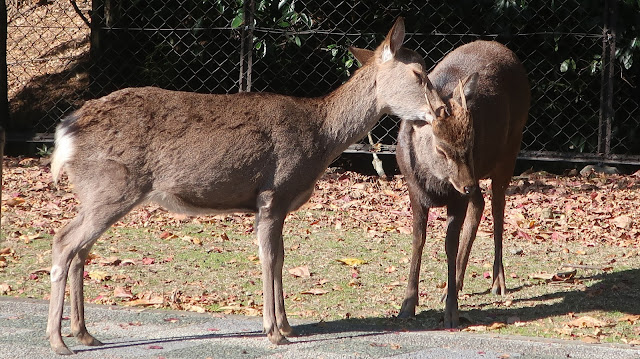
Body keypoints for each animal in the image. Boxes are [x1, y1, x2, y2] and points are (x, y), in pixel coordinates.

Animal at [46, 18, 436, 356]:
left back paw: (85, 333)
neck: (321, 138)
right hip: (111, 186)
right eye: (420, 74)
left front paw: (288, 325)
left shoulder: (278, 204)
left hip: (99, 192)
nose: (441, 110)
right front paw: (273, 331)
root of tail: (65, 131)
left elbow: (281, 258)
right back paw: (58, 341)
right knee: (65, 241)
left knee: (80, 249)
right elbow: (269, 257)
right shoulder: (273, 192)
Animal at [396, 40, 528, 330]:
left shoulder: (457, 195)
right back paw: (454, 284)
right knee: (479, 203)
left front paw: (451, 313)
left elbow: (449, 245)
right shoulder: (413, 189)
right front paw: (407, 305)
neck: (434, 185)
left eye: (470, 143)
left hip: (510, 149)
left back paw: (497, 281)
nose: (465, 185)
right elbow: (418, 239)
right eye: (440, 149)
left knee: (497, 206)